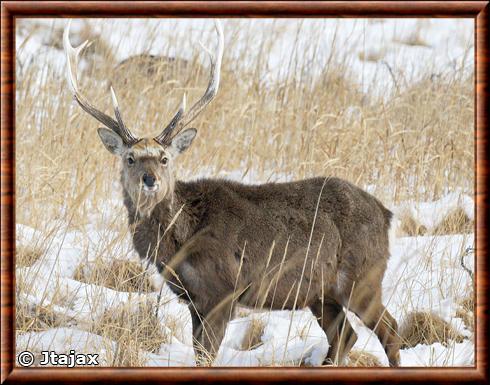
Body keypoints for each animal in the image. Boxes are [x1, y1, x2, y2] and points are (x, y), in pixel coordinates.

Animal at [63, 19, 400, 364]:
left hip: (363, 277)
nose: (149, 179)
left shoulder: (223, 290)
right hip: (322, 292)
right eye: (130, 158)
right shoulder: (194, 299)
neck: (180, 240)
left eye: (164, 157)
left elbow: (207, 356)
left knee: (390, 330)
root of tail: (386, 213)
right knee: (345, 335)